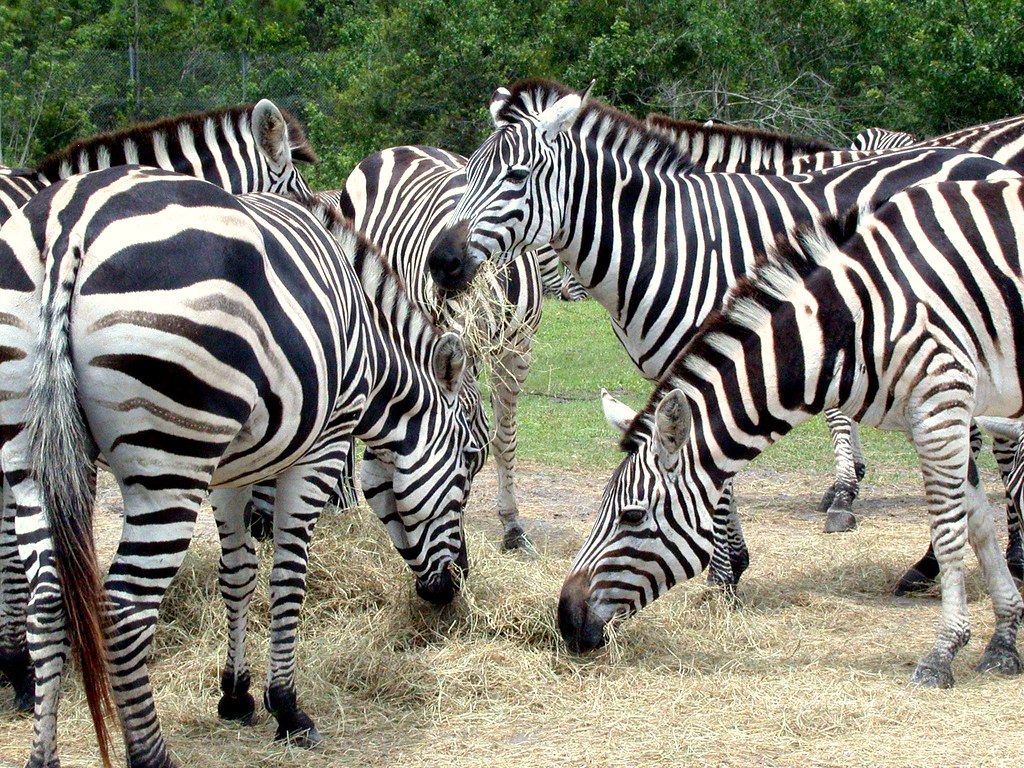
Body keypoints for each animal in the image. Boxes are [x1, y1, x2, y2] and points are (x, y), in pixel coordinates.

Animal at [0, 165, 480, 768]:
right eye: (469, 464)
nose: (456, 584)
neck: (370, 350)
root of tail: (72, 221)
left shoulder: (228, 470)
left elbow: (239, 574)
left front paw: (235, 694)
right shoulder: (322, 447)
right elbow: (287, 578)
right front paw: (288, 708)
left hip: (33, 455)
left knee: (47, 602)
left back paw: (43, 753)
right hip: (169, 461)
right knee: (126, 609)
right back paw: (151, 754)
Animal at [426, 78, 1020, 589]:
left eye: (516, 177)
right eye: (470, 170)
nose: (441, 263)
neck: (661, 239)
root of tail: (980, 158)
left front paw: (725, 572)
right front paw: (729, 562)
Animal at [558, 179, 1024, 689]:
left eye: (633, 517)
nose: (565, 620)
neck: (849, 324)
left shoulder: (942, 404)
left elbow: (949, 530)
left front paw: (943, 652)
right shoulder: (934, 418)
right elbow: (978, 525)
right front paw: (1003, 639)